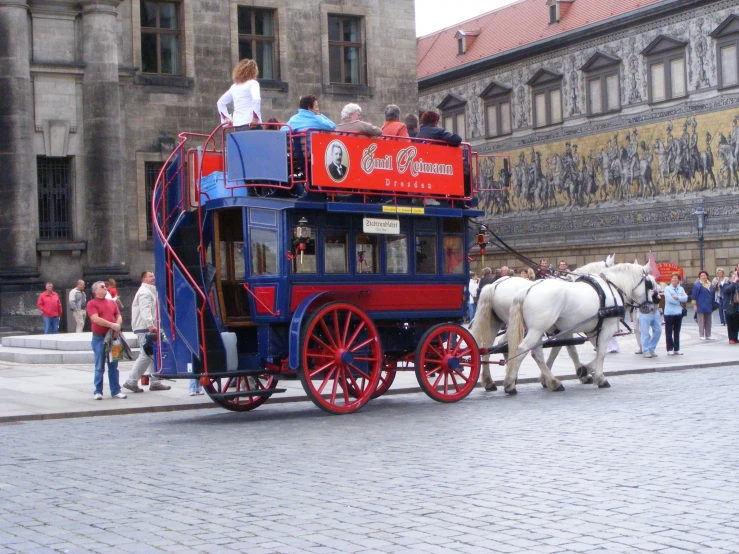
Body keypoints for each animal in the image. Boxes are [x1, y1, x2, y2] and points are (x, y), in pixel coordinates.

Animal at [474, 252, 620, 390]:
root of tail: (495, 285)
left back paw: (492, 380)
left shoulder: (566, 329)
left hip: (498, 324)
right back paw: (512, 381)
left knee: (489, 347)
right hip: (525, 327)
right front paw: (588, 374)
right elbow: (582, 350)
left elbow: (567, 349)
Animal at [506, 262, 656, 392]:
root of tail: (527, 289)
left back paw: (553, 382)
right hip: (537, 330)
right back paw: (510, 383)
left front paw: (584, 370)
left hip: (537, 330)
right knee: (522, 349)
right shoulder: (607, 327)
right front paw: (600, 378)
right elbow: (601, 351)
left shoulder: (586, 330)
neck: (610, 288)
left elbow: (574, 351)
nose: (651, 307)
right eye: (650, 285)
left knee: (537, 353)